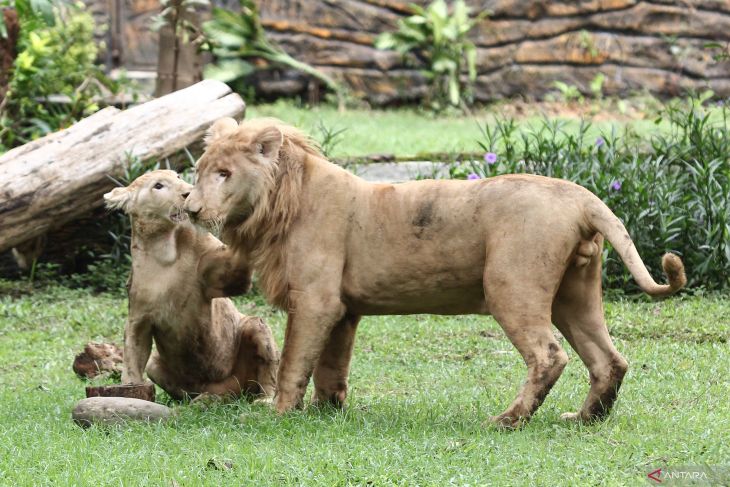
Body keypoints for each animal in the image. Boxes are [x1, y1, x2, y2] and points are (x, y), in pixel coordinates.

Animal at [182, 119, 684, 428]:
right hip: (574, 294)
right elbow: (330, 366)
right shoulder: (342, 309)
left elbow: (292, 363)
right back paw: (583, 419)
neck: (278, 205)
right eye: (199, 170)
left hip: (511, 286)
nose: (190, 209)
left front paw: (278, 412)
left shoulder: (315, 300)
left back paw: (507, 420)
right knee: (609, 359)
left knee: (549, 356)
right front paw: (328, 413)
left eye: (224, 174)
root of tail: (582, 197)